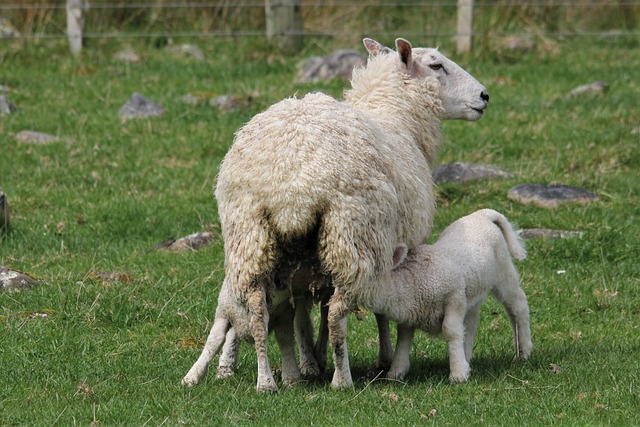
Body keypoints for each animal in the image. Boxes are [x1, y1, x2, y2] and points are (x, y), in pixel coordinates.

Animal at [192, 38, 488, 392]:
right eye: (436, 65)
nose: (484, 96)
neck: (398, 117)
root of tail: (291, 182)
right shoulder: (390, 246)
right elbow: (378, 310)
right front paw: (382, 358)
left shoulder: (312, 262)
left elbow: (310, 309)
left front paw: (312, 360)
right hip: (351, 234)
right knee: (336, 314)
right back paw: (341, 379)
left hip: (252, 236)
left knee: (257, 311)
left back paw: (267, 382)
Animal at [380, 209, 536, 382]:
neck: (415, 279)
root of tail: (483, 214)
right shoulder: (410, 313)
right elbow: (403, 338)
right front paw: (396, 372)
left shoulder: (455, 297)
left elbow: (451, 331)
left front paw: (458, 373)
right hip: (473, 289)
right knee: (472, 322)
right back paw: (469, 356)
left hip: (503, 270)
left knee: (518, 305)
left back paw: (524, 351)